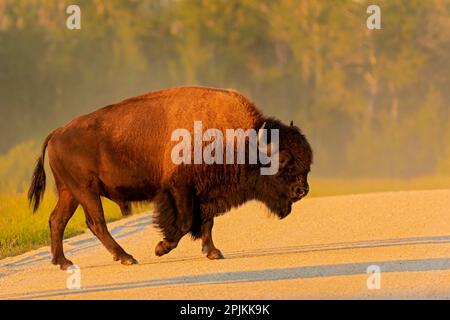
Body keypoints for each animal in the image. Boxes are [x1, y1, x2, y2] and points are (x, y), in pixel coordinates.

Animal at [27, 86, 310, 268]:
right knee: (95, 223)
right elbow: (184, 222)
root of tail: (57, 132)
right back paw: (126, 257)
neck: (242, 140)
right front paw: (161, 247)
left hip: (70, 192)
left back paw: (63, 262)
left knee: (57, 220)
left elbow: (206, 223)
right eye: (283, 162)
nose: (302, 190)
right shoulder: (180, 189)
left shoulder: (204, 194)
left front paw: (213, 252)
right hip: (85, 191)